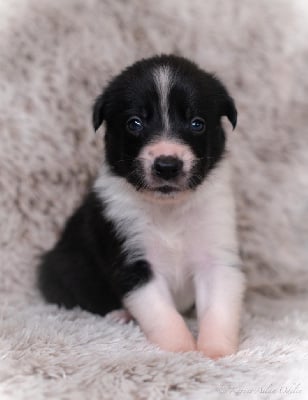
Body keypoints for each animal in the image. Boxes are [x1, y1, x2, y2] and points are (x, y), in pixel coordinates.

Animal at [38, 54, 245, 358]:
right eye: (135, 123)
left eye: (197, 123)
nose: (167, 165)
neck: (169, 208)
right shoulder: (132, 258)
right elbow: (162, 314)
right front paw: (181, 351)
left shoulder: (215, 250)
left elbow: (219, 307)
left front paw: (214, 352)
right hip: (61, 265)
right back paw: (120, 314)